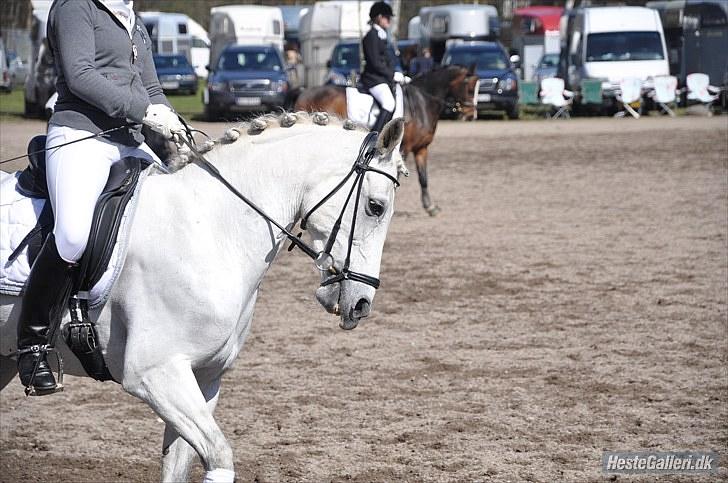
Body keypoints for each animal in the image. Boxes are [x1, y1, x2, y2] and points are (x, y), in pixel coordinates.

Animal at [0, 113, 406, 483]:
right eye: (375, 207)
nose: (361, 304)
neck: (210, 228)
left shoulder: (204, 377)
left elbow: (179, 465)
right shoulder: (154, 374)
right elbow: (220, 454)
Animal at [294, 65, 479, 216]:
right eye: (470, 88)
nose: (471, 115)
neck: (421, 103)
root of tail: (303, 92)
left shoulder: (421, 148)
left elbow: (423, 178)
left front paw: (430, 207)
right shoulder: (403, 149)